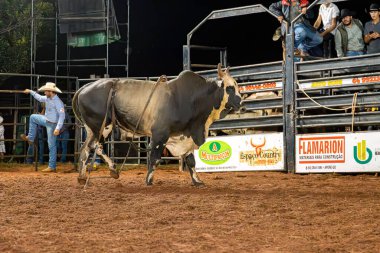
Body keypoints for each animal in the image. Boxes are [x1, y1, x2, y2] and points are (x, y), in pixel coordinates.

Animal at [72, 64, 242, 185]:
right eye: (229, 88)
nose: (241, 103)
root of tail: (85, 87)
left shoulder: (185, 135)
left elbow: (190, 160)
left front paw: (197, 181)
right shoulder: (160, 134)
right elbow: (154, 158)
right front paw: (149, 181)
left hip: (96, 128)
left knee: (88, 148)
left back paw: (88, 176)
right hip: (100, 126)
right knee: (93, 147)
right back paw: (107, 170)